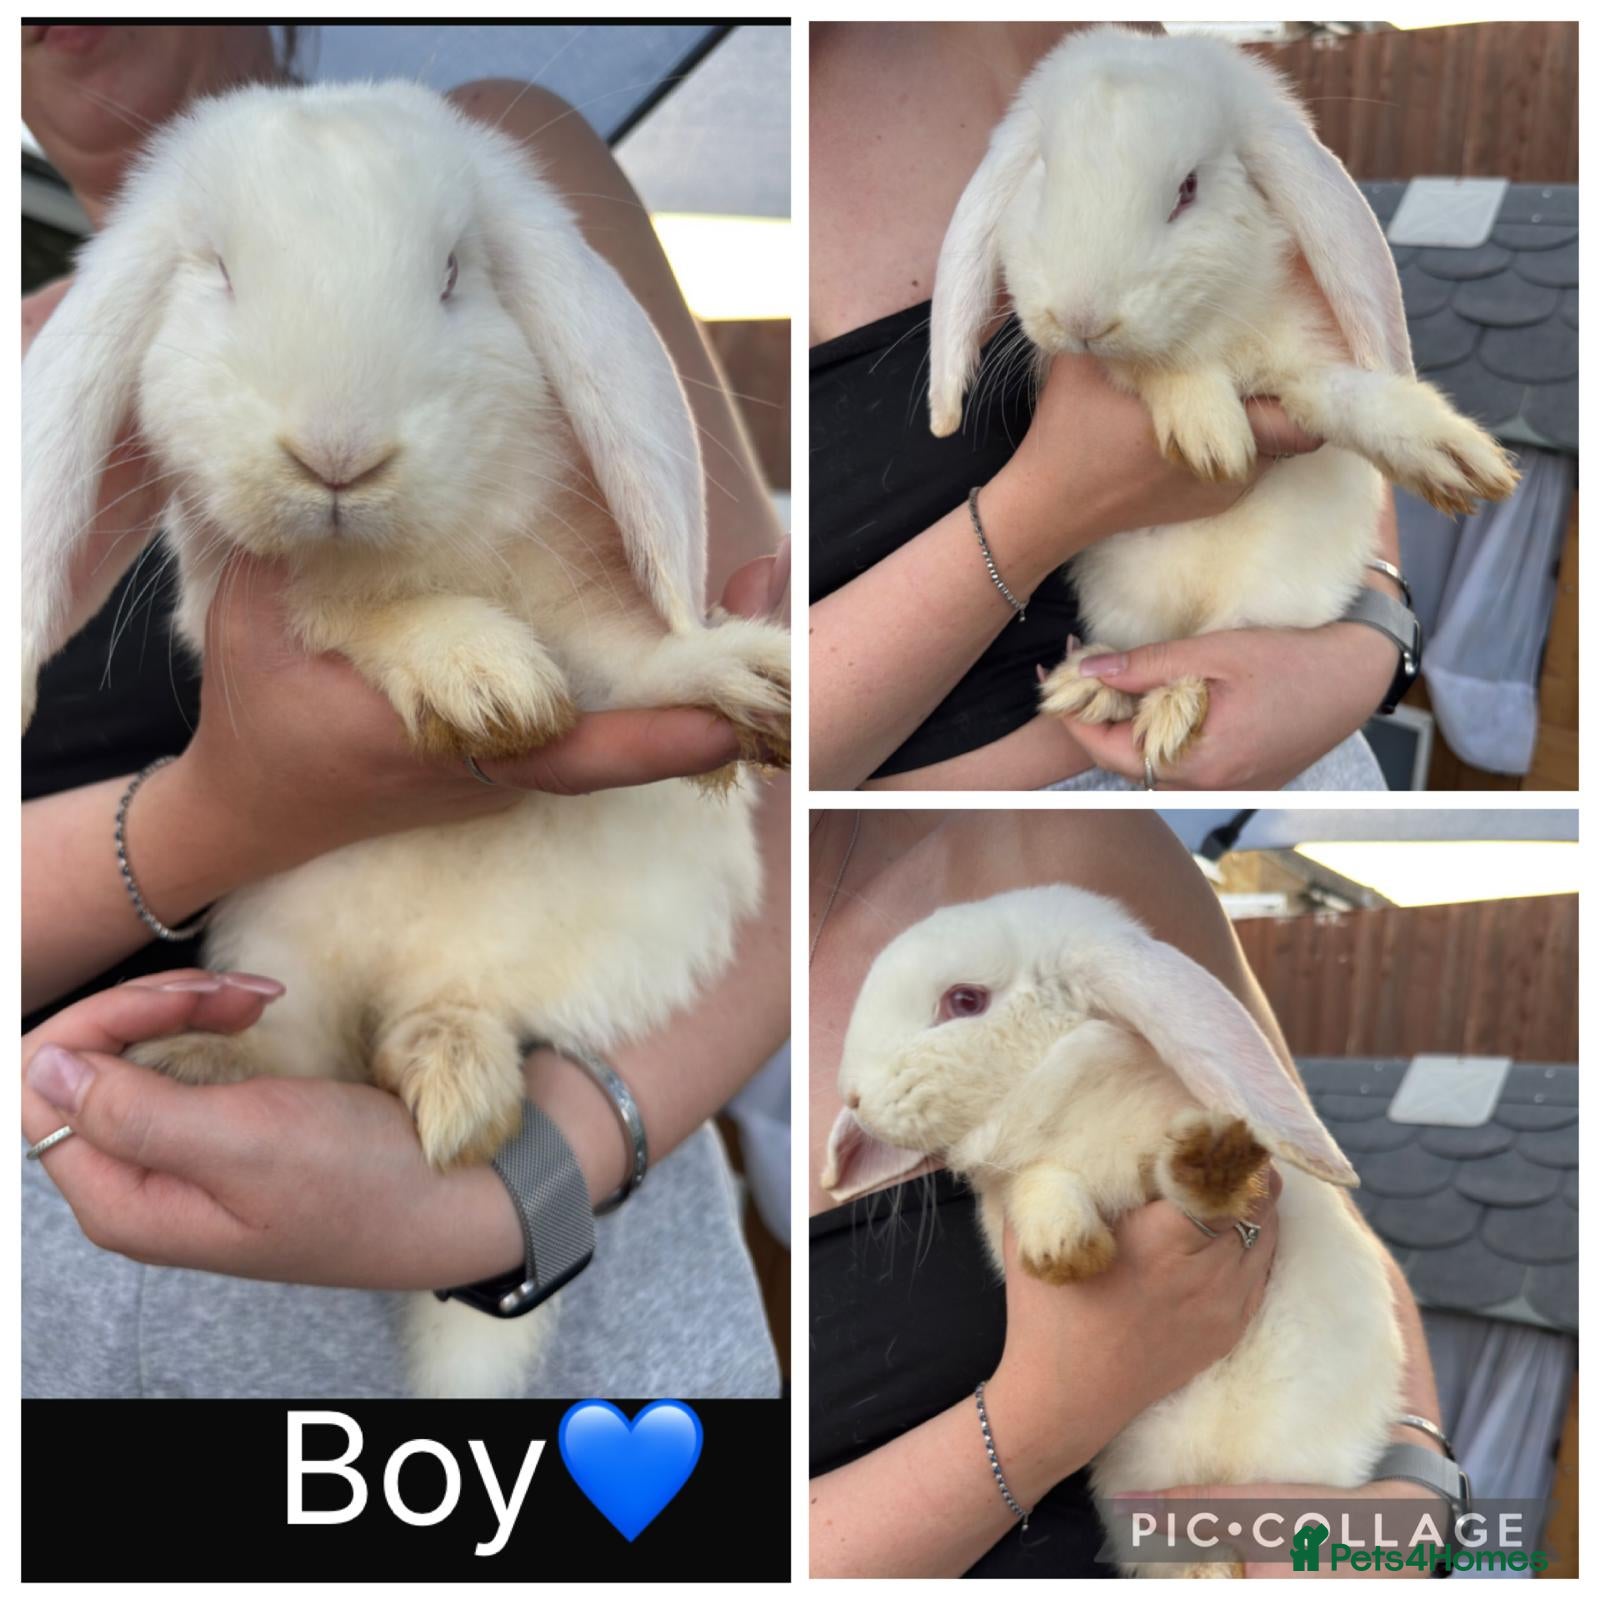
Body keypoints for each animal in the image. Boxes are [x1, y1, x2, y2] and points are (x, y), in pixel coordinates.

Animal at [20, 80, 790, 1397]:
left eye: (451, 276)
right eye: (215, 273)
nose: (339, 455)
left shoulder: (574, 601)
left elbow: (621, 661)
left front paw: (740, 672)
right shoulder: (279, 603)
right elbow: (367, 618)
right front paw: (480, 676)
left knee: (463, 1018)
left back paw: (453, 1084)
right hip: (282, 944)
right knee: (303, 1043)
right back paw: (203, 1061)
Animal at [823, 886, 1401, 1578]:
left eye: (964, 1000)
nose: (855, 1098)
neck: (1061, 1101)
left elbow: (1177, 1173)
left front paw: (1212, 1162)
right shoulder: (1021, 1185)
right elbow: (1043, 1185)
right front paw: (1064, 1250)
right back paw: (1209, 1571)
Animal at [928, 25, 1518, 775]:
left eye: (1187, 189)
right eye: (1044, 174)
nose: (1082, 317)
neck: (1212, 329)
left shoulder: (1300, 366)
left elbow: (1337, 394)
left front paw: (1452, 458)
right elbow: (1151, 368)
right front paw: (1211, 432)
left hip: (1269, 596)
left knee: (1207, 648)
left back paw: (1166, 708)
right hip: (1127, 603)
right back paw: (1092, 687)